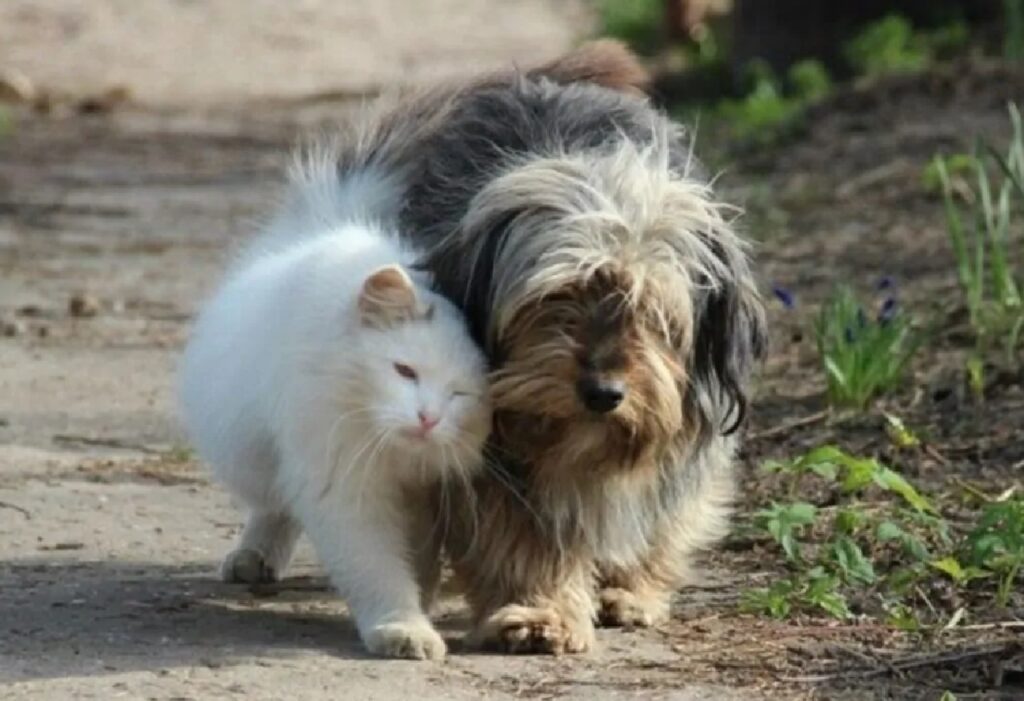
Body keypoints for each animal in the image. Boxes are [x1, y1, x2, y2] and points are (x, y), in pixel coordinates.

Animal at [177, 155, 491, 659]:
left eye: (461, 394)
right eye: (405, 371)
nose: (427, 418)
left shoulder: (427, 493)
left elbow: (415, 562)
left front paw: (419, 609)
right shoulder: (342, 485)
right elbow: (378, 569)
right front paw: (402, 628)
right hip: (260, 458)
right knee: (274, 508)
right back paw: (252, 559)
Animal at [323, 39, 765, 650]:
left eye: (651, 312)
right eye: (557, 297)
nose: (603, 393)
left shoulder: (684, 422)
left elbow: (661, 509)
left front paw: (632, 589)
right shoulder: (490, 445)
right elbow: (517, 531)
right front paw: (539, 608)